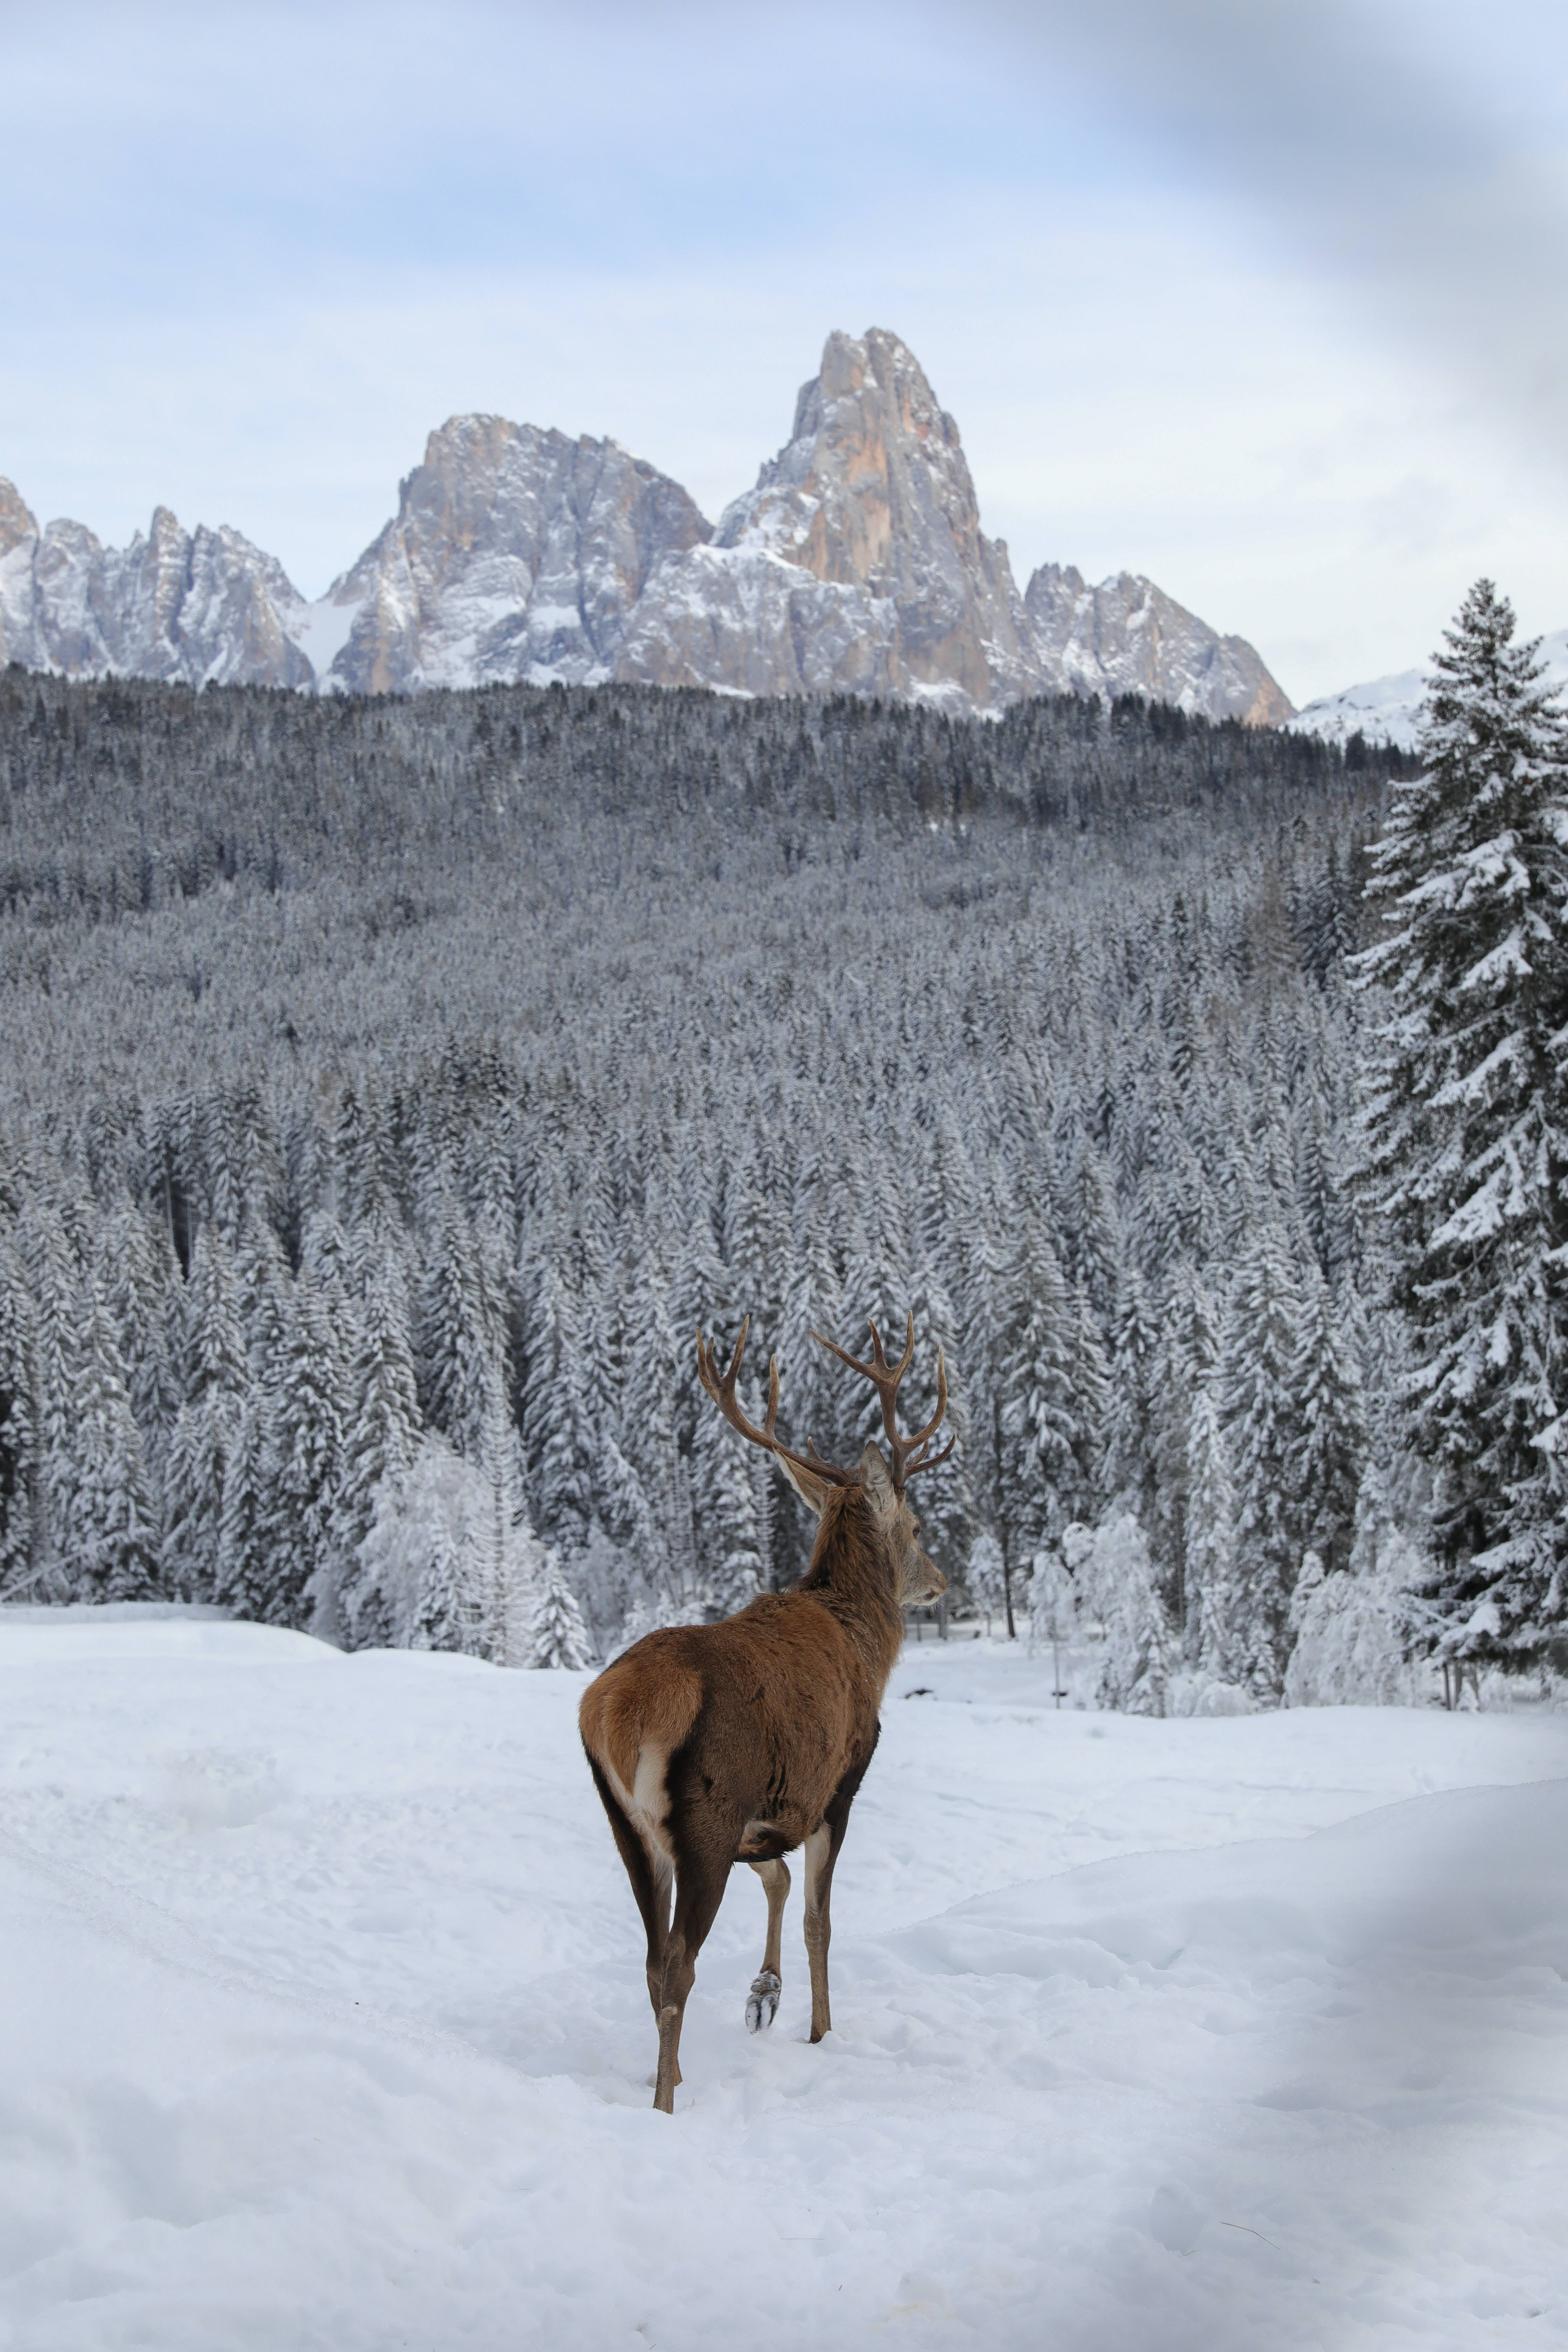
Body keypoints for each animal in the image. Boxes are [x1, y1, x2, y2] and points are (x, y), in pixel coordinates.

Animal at [579, 1311, 951, 2113]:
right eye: (913, 1527)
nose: (940, 1582)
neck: (867, 1645)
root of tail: (617, 1711)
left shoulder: (769, 1814)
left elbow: (777, 1880)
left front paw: (764, 1993)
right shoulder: (836, 1785)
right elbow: (819, 1919)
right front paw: (819, 2030)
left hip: (630, 1827)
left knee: (651, 1959)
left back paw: (670, 2074)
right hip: (707, 1814)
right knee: (678, 1963)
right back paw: (666, 2105)